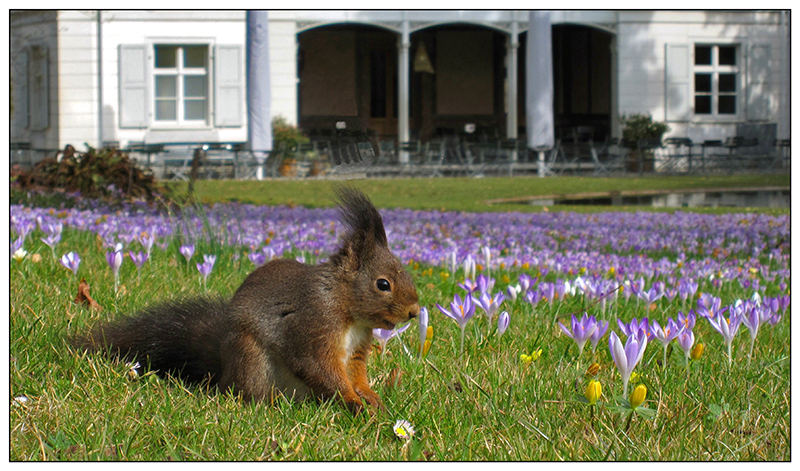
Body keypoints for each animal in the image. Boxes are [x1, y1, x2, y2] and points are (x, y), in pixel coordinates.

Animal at [70, 188, 418, 412]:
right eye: (383, 284)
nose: (414, 311)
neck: (347, 309)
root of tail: (224, 370)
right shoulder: (313, 326)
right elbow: (320, 368)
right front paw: (353, 402)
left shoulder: (357, 348)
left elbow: (356, 371)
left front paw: (370, 396)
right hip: (252, 360)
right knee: (249, 394)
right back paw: (272, 404)